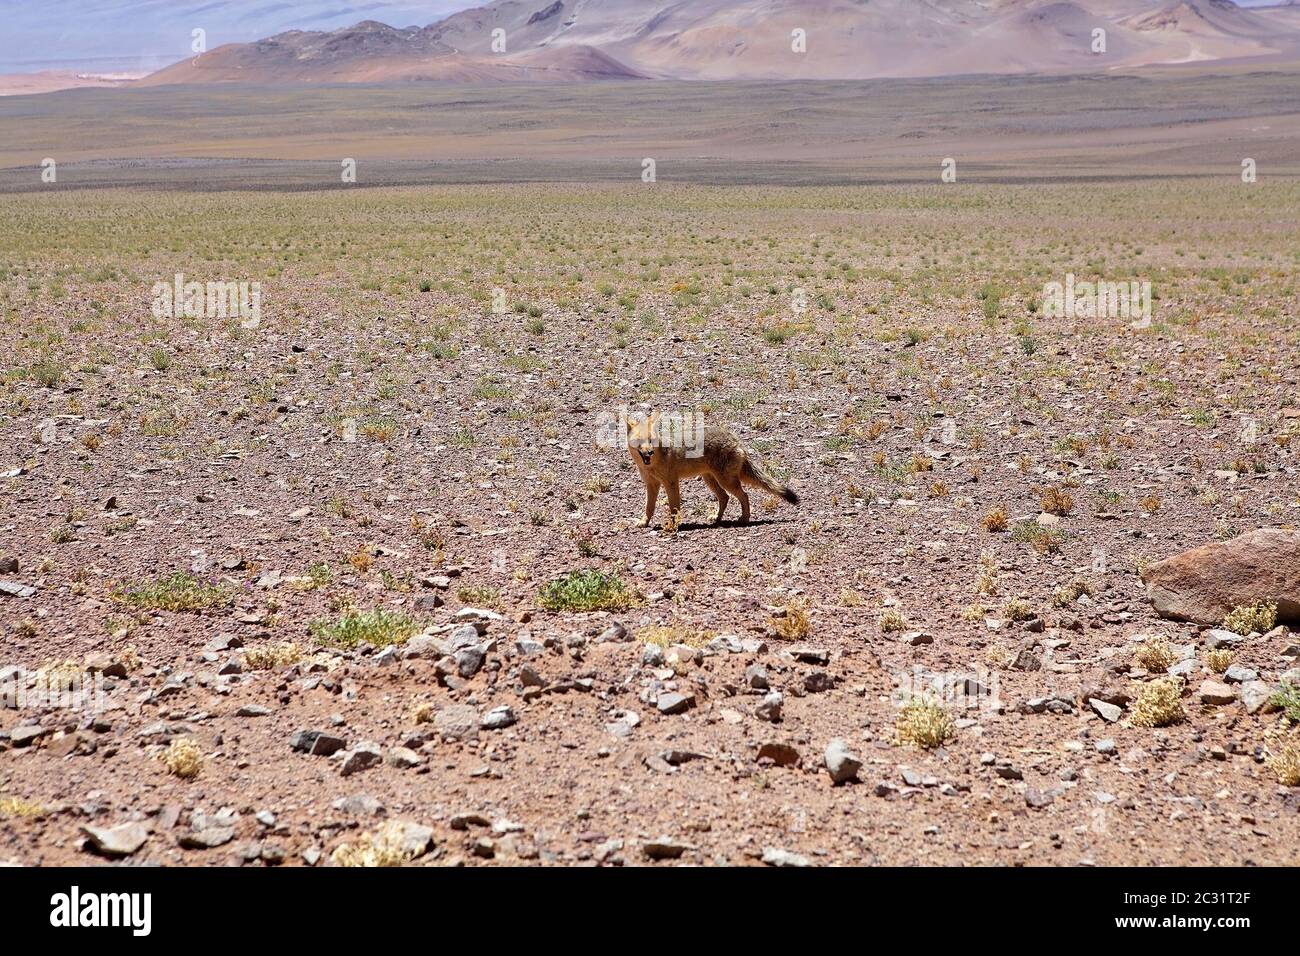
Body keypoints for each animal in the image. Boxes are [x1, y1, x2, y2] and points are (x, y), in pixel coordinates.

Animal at [624, 408, 795, 528]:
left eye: (651, 440)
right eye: (639, 441)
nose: (650, 452)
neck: (651, 464)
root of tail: (735, 439)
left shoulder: (671, 482)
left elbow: (674, 507)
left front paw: (673, 525)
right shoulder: (651, 484)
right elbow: (649, 507)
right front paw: (644, 522)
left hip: (725, 481)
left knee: (744, 496)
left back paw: (744, 519)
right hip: (711, 480)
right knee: (725, 498)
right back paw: (717, 519)